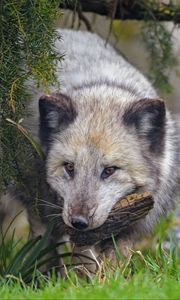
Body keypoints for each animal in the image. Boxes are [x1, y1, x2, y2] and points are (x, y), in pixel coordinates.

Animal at [1, 28, 179, 268]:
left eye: (110, 170)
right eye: (69, 167)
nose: (79, 222)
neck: (101, 87)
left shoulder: (129, 231)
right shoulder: (39, 208)